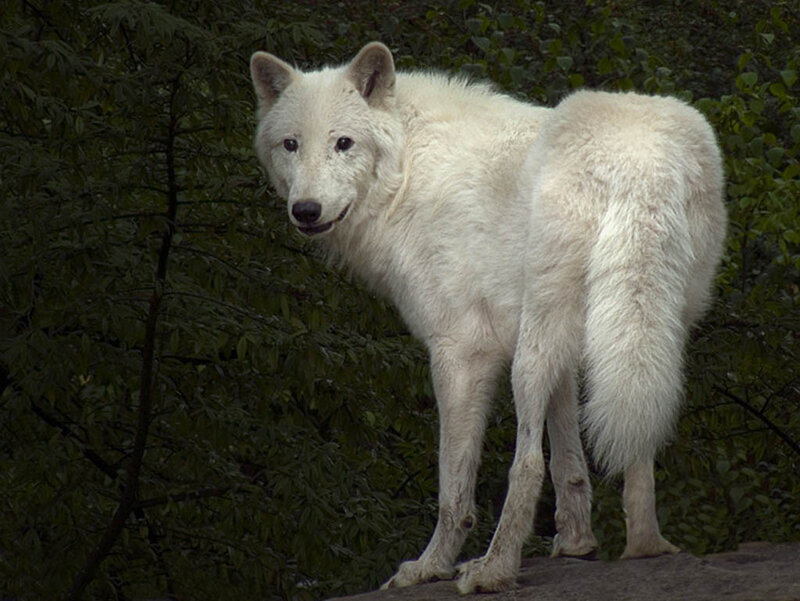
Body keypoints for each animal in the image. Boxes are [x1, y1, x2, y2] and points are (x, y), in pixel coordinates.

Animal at [249, 42, 726, 593]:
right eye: (290, 144)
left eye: (343, 143)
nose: (305, 210)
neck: (408, 173)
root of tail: (640, 158)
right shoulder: (565, 350)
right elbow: (571, 461)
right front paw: (577, 544)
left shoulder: (459, 351)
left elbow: (454, 485)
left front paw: (429, 565)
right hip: (646, 332)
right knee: (640, 440)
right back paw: (646, 547)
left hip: (531, 352)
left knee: (527, 464)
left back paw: (493, 569)